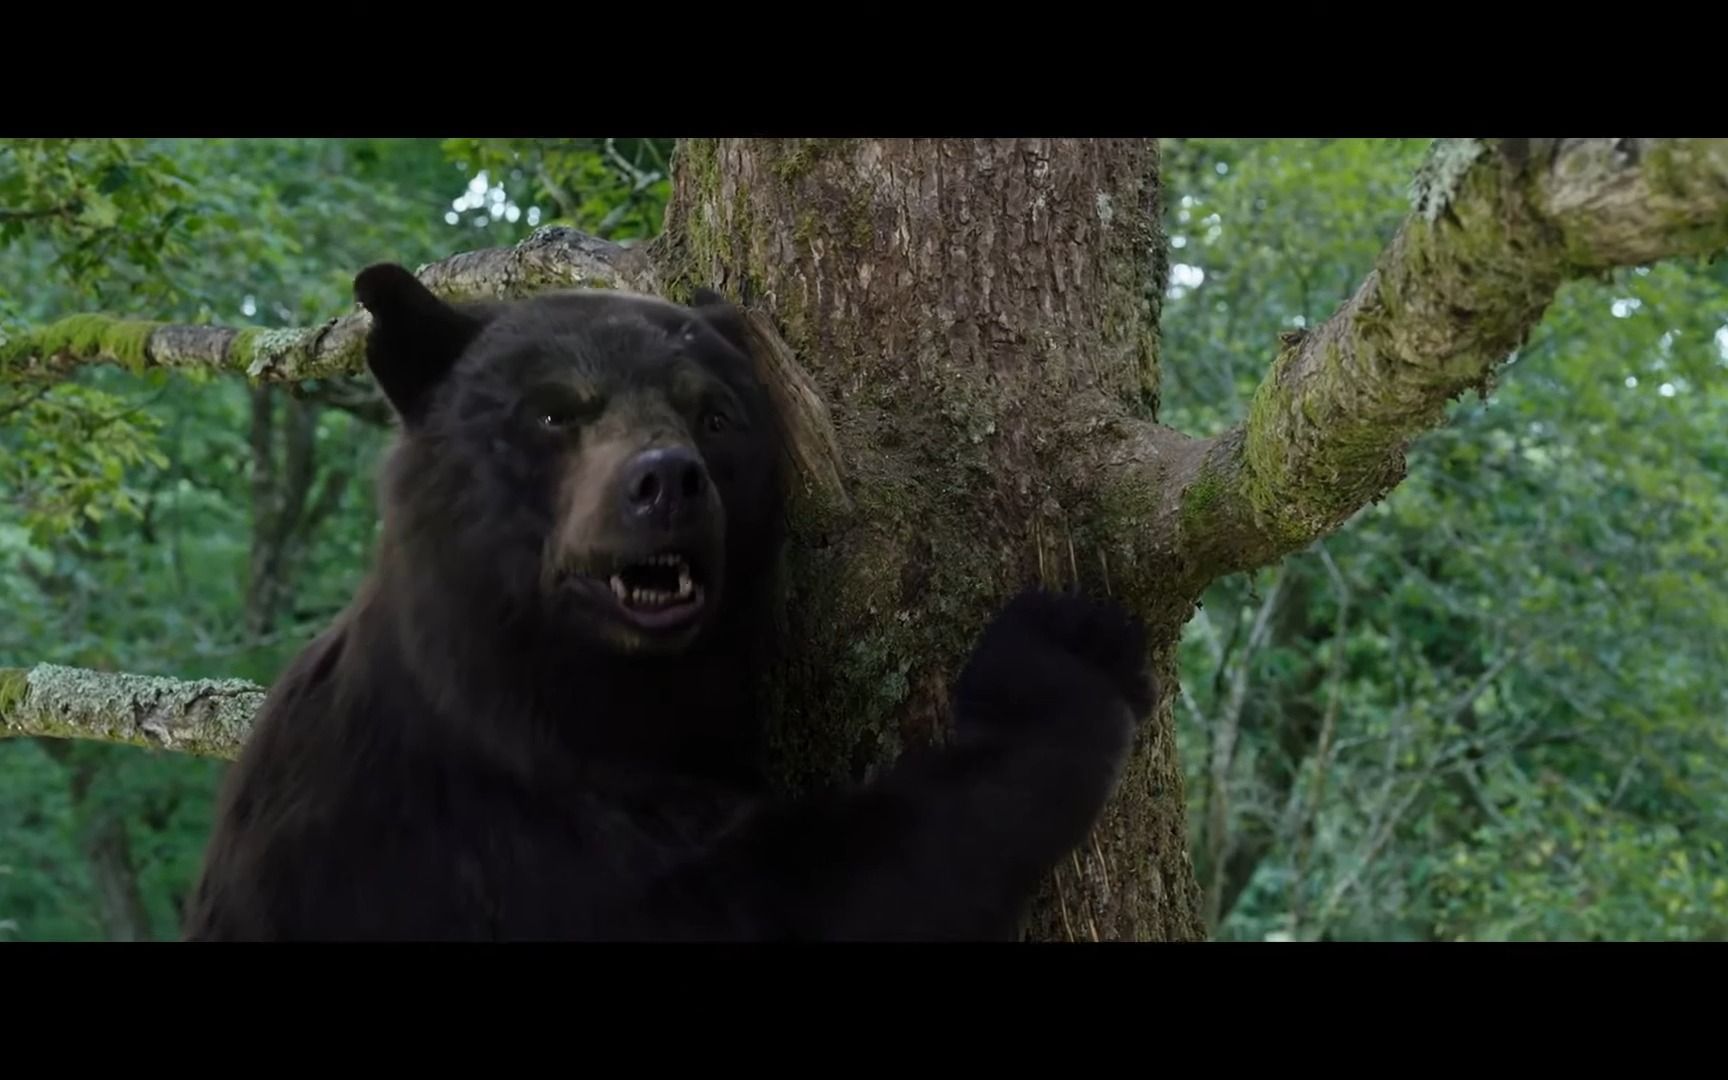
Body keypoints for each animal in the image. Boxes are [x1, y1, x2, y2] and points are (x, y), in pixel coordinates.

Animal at [182, 266, 1154, 940]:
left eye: (714, 416)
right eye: (554, 412)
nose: (667, 482)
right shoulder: (484, 831)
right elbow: (800, 890)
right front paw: (1061, 655)